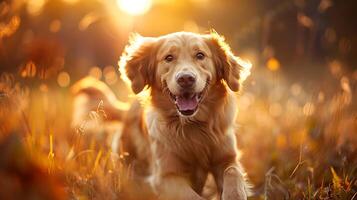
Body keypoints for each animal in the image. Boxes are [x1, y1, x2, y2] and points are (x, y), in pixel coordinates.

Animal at [118, 30, 252, 199]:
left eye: (200, 55)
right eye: (169, 58)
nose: (186, 79)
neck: (193, 126)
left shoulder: (227, 158)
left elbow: (232, 172)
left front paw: (234, 195)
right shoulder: (165, 176)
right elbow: (192, 196)